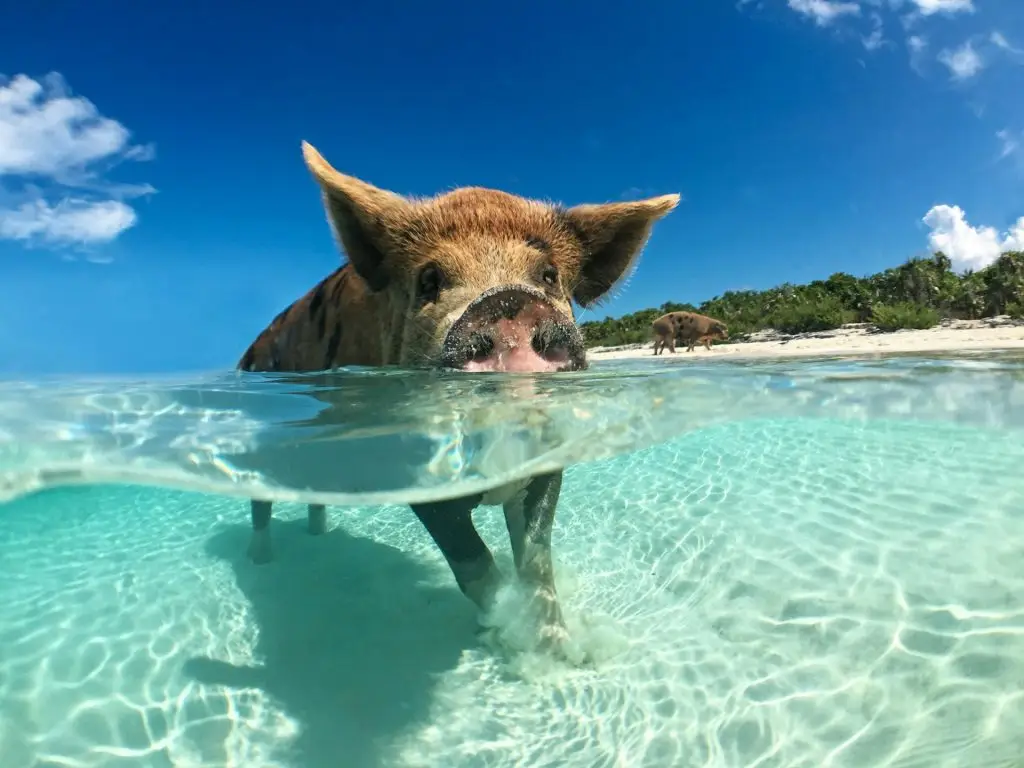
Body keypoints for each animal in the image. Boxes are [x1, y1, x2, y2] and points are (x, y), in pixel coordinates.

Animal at [236, 141, 679, 653]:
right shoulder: (414, 469)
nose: (508, 302)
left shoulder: (548, 461)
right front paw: (507, 639)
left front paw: (561, 652)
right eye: (429, 280)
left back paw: (317, 536)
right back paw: (261, 561)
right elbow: (473, 564)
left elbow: (536, 562)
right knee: (259, 503)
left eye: (548, 275)